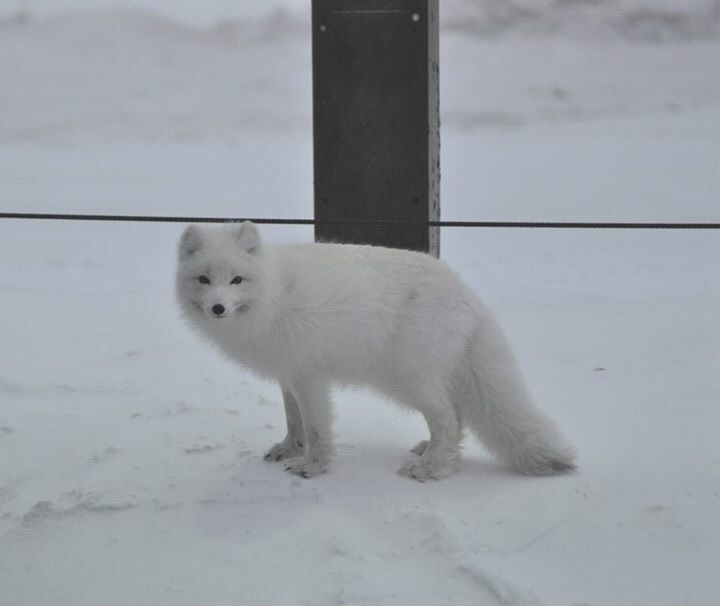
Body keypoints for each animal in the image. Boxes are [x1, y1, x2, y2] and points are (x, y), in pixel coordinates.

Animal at [175, 222, 576, 481]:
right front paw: (289, 449)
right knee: (456, 417)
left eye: (237, 280)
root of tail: (466, 292)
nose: (218, 308)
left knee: (448, 419)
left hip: (408, 379)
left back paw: (431, 468)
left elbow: (317, 429)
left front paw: (313, 467)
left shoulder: (310, 376)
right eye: (204, 280)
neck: (274, 294)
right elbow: (294, 422)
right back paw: (432, 453)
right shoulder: (288, 374)